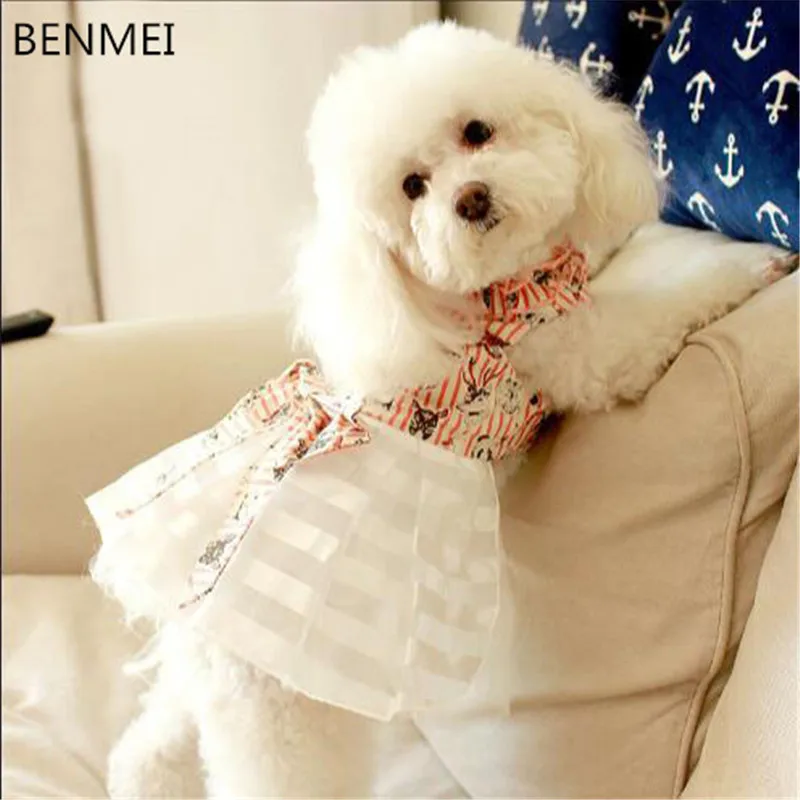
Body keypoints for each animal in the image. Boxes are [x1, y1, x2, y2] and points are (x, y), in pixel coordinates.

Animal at [98, 22, 792, 799]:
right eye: (412, 188)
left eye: (477, 131)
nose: (470, 198)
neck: (502, 291)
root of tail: (196, 618)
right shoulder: (582, 353)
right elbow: (667, 306)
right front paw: (749, 265)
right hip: (279, 723)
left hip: (192, 694)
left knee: (147, 742)